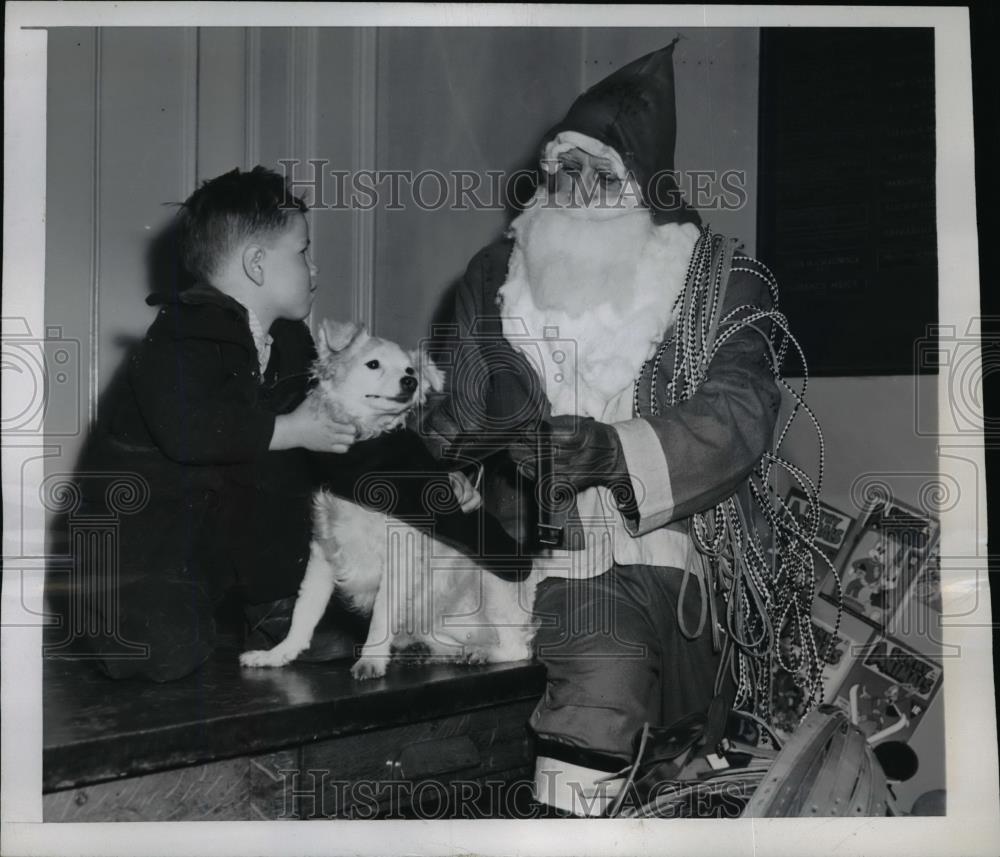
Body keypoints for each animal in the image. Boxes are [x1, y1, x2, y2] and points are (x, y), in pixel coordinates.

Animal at [239, 318, 540, 680]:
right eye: (373, 364)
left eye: (410, 370)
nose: (411, 382)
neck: (366, 452)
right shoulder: (323, 555)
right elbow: (303, 612)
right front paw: (278, 654)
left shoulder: (398, 560)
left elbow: (381, 618)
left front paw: (371, 660)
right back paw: (433, 652)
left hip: (489, 581)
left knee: (516, 647)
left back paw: (481, 653)